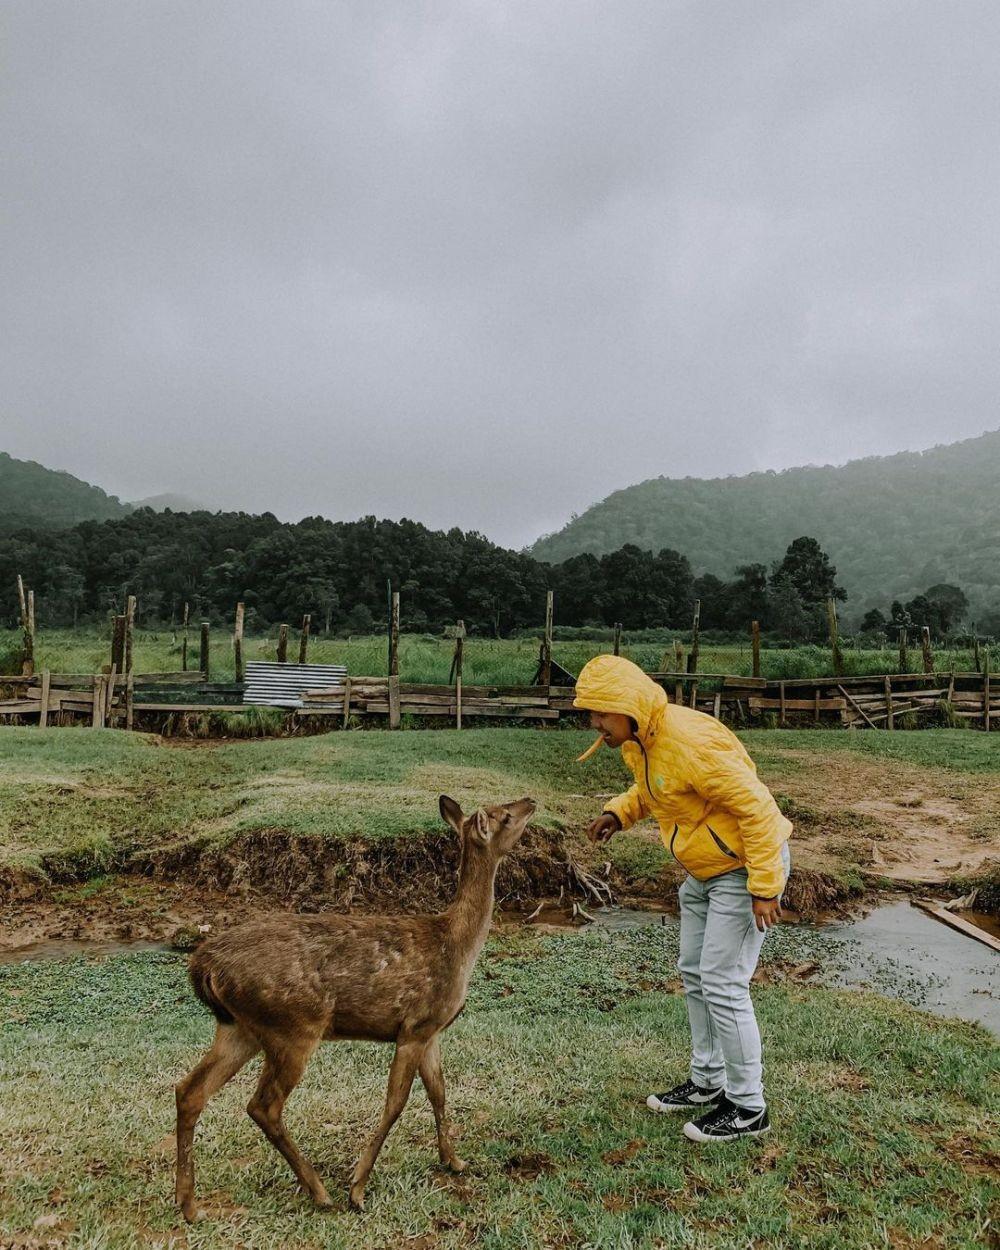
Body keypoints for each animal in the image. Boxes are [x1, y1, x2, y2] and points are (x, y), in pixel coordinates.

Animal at [173, 795, 530, 1215]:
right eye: (505, 815)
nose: (530, 801)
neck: (457, 946)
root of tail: (204, 965)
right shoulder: (414, 1026)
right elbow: (396, 1102)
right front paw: (357, 1187)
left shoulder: (432, 1029)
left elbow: (439, 1091)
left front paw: (453, 1160)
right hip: (291, 1026)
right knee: (262, 1105)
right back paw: (319, 1191)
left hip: (238, 1027)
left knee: (189, 1090)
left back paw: (188, 1203)